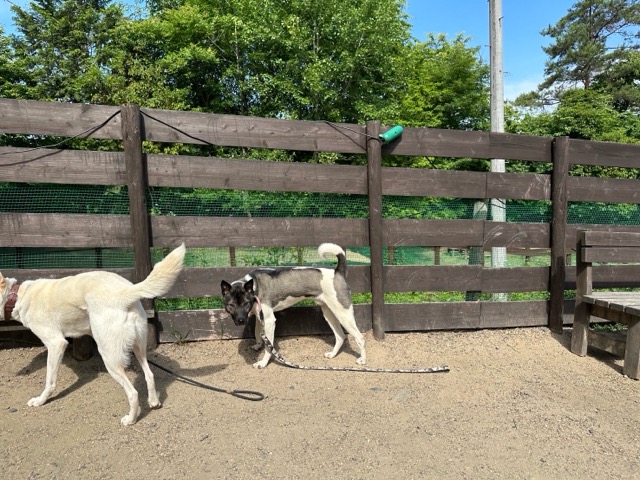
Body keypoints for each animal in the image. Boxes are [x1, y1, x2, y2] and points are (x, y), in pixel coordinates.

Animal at [0, 243, 186, 426]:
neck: (17, 295)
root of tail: (124, 293)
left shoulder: (56, 343)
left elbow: (50, 380)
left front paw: (40, 400)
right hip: (138, 347)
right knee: (150, 374)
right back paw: (153, 402)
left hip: (109, 356)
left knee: (133, 393)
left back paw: (130, 419)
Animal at [221, 243, 366, 369]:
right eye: (231, 305)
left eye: (245, 303)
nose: (240, 321)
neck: (255, 287)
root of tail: (337, 272)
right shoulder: (260, 317)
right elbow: (258, 333)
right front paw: (258, 345)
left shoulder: (269, 321)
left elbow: (269, 347)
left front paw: (263, 362)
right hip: (329, 313)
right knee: (340, 336)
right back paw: (332, 354)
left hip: (343, 314)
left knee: (360, 337)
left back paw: (363, 360)